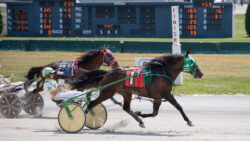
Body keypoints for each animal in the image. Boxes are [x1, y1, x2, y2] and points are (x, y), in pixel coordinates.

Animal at [71, 49, 203, 128]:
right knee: (92, 103)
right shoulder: (166, 94)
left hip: (126, 93)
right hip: (107, 92)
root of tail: (108, 73)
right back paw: (80, 119)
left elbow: (154, 113)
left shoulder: (157, 97)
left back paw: (140, 120)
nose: (201, 74)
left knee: (126, 108)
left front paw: (141, 114)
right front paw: (188, 120)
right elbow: (178, 106)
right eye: (192, 62)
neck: (162, 72)